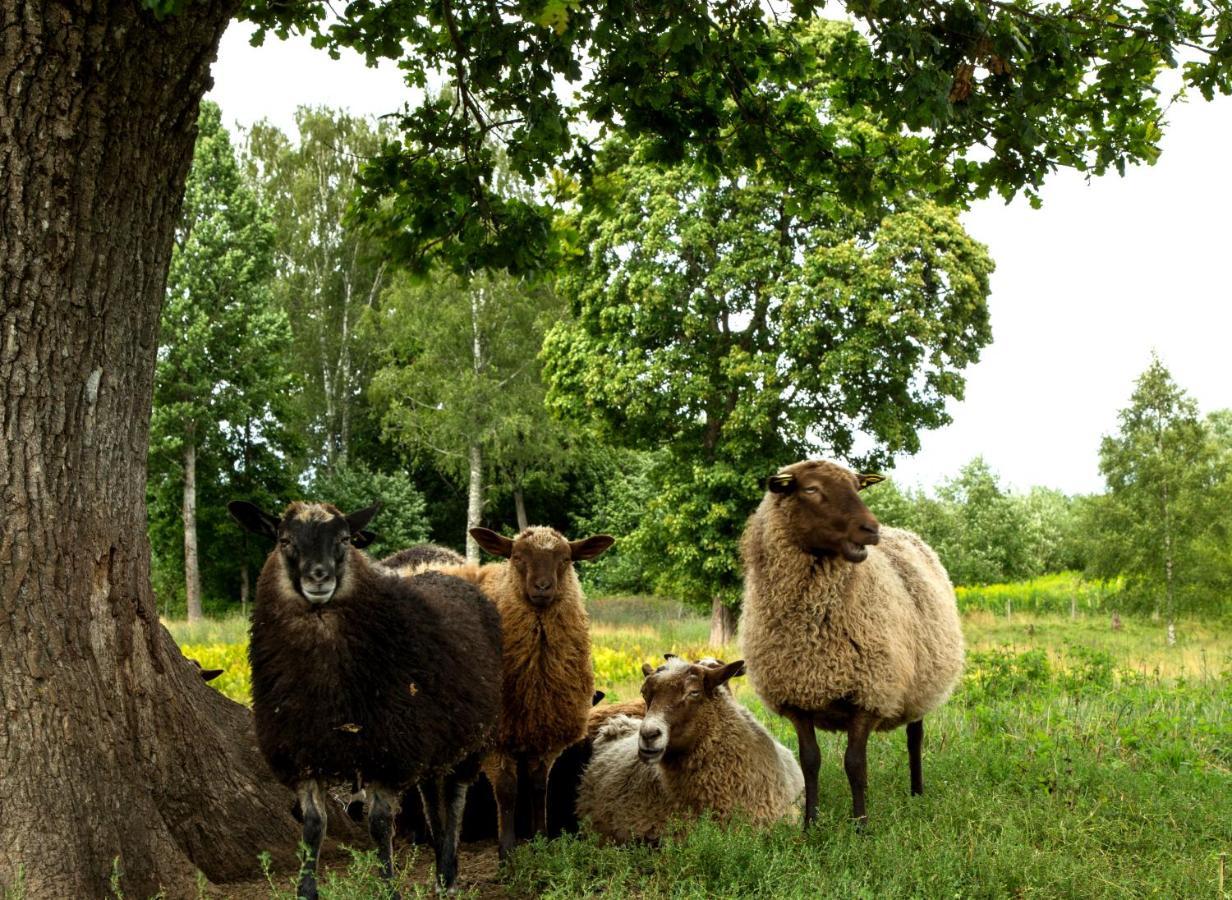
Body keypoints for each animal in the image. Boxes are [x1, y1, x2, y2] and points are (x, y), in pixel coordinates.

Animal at [229, 499, 502, 900]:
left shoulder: (388, 753)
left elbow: (379, 825)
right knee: (430, 796)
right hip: (433, 737)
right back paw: (439, 866)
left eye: (344, 539)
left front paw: (388, 887)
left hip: (471, 736)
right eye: (284, 540)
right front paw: (306, 890)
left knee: (454, 797)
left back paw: (449, 874)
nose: (319, 577)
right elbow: (313, 825)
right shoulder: (303, 753)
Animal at [428, 524, 616, 861]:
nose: (542, 587)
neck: (535, 682)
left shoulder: (545, 734)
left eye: (566, 559)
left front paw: (540, 840)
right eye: (516, 557)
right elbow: (507, 790)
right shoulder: (495, 738)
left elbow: (539, 786)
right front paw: (507, 851)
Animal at [734, 465, 965, 832]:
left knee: (915, 737)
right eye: (811, 490)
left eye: (858, 487)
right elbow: (810, 761)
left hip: (921, 684)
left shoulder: (868, 694)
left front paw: (860, 827)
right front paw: (810, 824)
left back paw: (917, 792)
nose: (871, 529)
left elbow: (855, 764)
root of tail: (908, 533)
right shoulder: (796, 697)